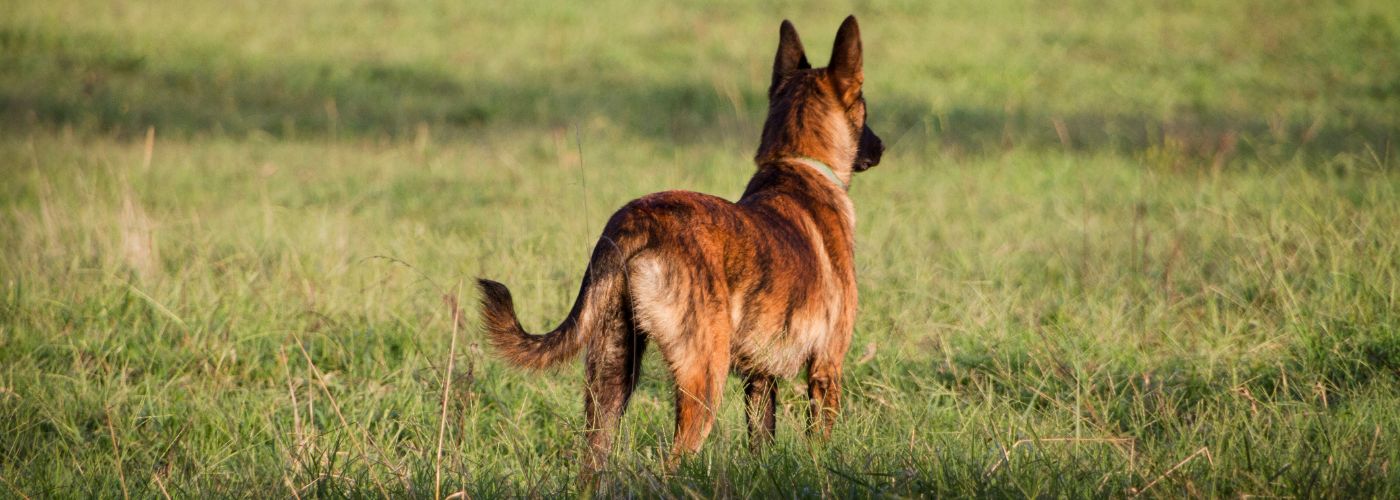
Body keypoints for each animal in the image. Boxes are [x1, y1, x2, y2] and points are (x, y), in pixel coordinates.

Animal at [476, 13, 879, 470]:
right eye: (865, 107)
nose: (881, 147)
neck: (797, 166)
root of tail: (636, 220)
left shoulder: (759, 378)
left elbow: (762, 440)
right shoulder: (827, 368)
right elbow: (819, 443)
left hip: (611, 377)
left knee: (594, 459)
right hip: (703, 379)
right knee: (675, 460)